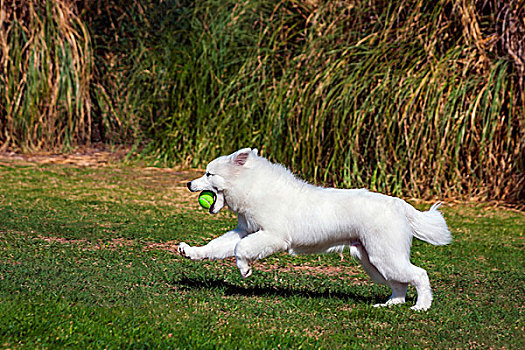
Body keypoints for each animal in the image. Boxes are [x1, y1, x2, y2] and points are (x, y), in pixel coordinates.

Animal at [179, 147, 450, 308]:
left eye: (209, 174)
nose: (189, 183)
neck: (252, 186)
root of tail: (398, 204)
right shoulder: (245, 231)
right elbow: (217, 246)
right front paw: (190, 251)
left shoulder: (272, 236)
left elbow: (240, 249)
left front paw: (245, 270)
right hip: (374, 260)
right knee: (400, 284)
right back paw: (391, 305)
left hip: (384, 255)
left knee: (419, 275)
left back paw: (421, 307)